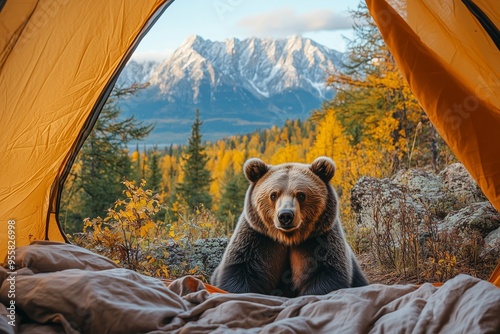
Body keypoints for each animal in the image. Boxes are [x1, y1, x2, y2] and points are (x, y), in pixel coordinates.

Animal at [211, 155, 368, 296]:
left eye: (301, 195)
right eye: (273, 194)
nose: (285, 215)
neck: (288, 238)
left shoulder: (319, 240)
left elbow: (327, 273)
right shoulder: (257, 239)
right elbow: (240, 271)